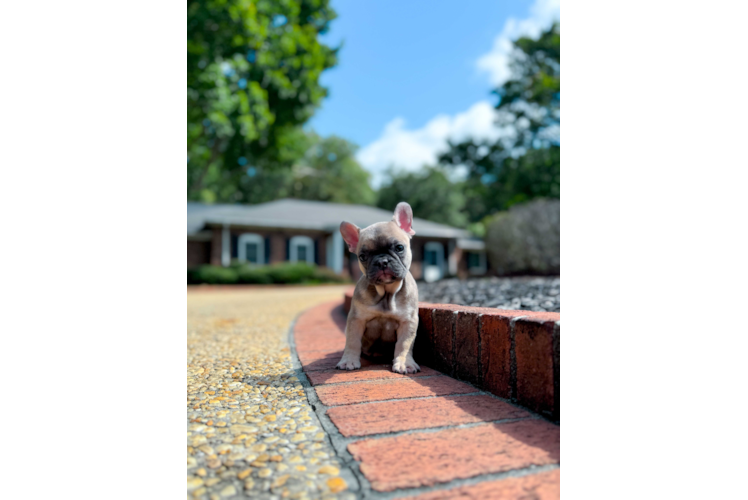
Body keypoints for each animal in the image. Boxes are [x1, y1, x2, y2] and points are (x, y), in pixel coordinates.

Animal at [338, 201, 420, 374]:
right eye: (362, 256)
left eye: (399, 248)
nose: (382, 261)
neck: (386, 293)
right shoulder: (356, 319)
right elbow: (352, 341)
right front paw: (349, 361)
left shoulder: (408, 322)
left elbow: (404, 344)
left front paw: (404, 363)